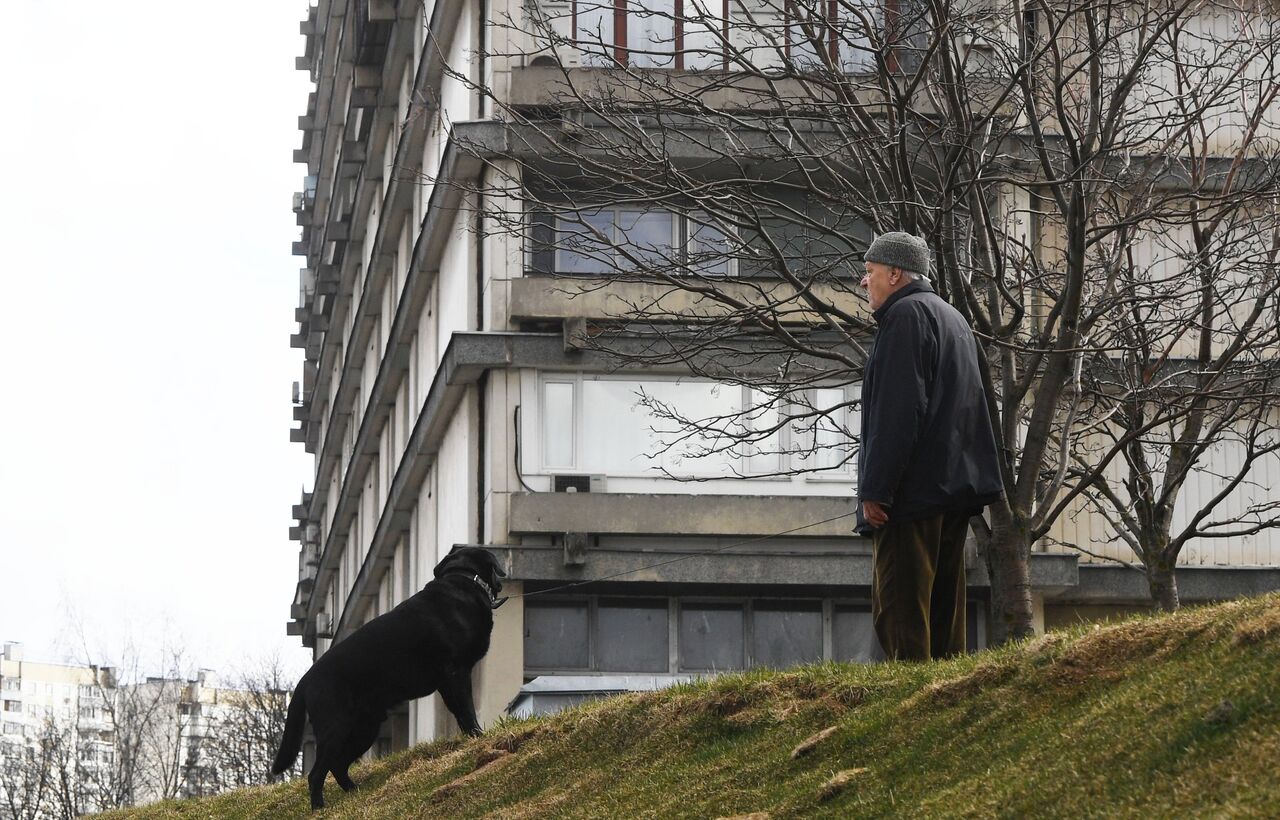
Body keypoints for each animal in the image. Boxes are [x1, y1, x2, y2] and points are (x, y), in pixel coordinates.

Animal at [272, 542, 506, 808]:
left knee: (337, 765)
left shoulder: (448, 681)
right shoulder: (456, 672)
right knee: (316, 773)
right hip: (337, 726)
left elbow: (460, 713)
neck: (463, 580)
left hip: (365, 727)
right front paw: (478, 736)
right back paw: (320, 808)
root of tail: (305, 679)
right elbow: (467, 710)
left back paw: (355, 792)